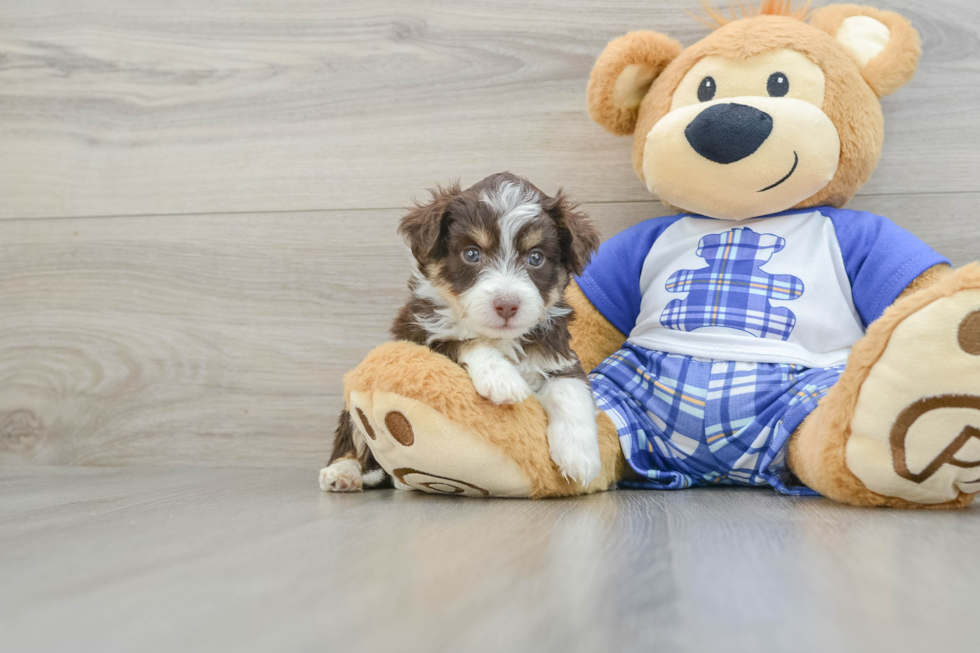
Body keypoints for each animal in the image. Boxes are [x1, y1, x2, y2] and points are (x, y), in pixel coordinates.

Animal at [320, 171, 604, 492]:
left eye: (535, 258)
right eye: (472, 254)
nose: (507, 305)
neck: (502, 339)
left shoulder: (557, 353)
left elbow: (570, 389)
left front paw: (580, 456)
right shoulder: (418, 337)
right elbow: (464, 341)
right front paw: (502, 378)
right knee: (353, 440)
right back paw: (343, 472)